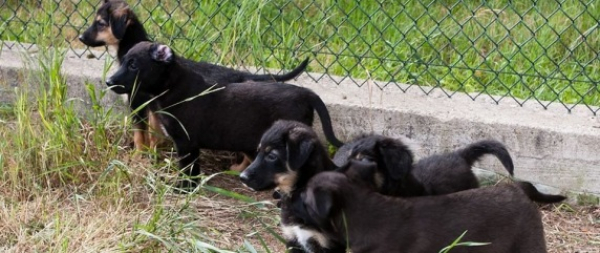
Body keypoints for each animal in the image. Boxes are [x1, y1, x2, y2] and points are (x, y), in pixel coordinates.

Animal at [106, 42, 342, 189]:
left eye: (133, 64)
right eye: (123, 61)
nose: (108, 82)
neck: (173, 86)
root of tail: (307, 93)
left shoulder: (186, 142)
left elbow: (188, 169)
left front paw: (183, 189)